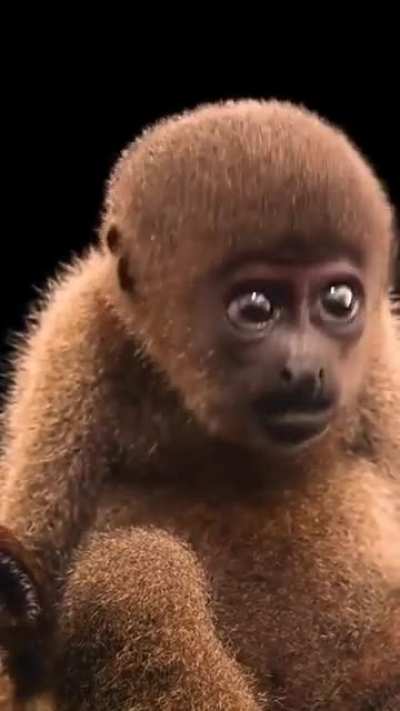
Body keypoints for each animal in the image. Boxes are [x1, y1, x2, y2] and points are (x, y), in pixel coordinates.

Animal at [0, 98, 399, 710]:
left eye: (338, 300)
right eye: (255, 307)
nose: (305, 368)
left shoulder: (384, 368)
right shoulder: (70, 350)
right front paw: (13, 598)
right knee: (133, 576)